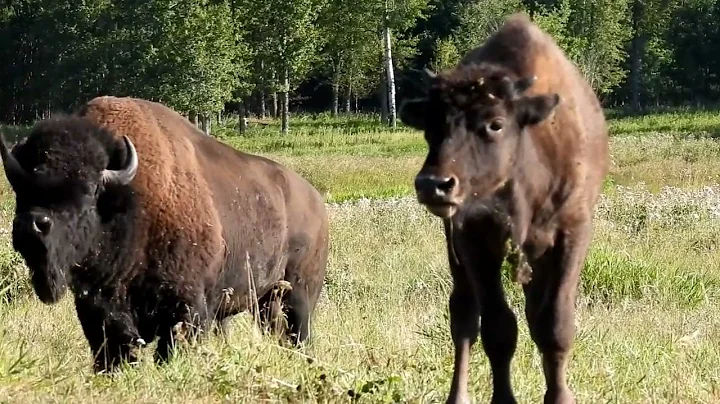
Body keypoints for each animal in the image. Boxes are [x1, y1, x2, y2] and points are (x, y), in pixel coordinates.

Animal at [0, 96, 329, 372]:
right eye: (21, 186)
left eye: (89, 190)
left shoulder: (187, 306)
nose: (32, 225)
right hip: (266, 302)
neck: (127, 201)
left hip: (299, 297)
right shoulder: (97, 307)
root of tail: (316, 202)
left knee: (299, 334)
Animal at [399, 14, 609, 404]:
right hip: (456, 250)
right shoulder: (473, 239)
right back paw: (458, 396)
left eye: (495, 124)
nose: (434, 184)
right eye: (430, 127)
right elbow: (498, 328)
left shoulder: (572, 232)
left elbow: (554, 324)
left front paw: (560, 396)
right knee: (464, 317)